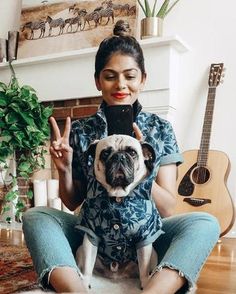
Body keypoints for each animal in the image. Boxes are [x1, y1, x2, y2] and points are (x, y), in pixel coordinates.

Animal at [76, 135, 159, 290]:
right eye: (105, 154)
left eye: (132, 153)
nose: (120, 156)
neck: (119, 195)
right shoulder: (90, 235)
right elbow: (87, 266)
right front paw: (83, 284)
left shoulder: (145, 238)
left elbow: (144, 269)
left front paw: (146, 284)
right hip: (80, 251)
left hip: (154, 255)